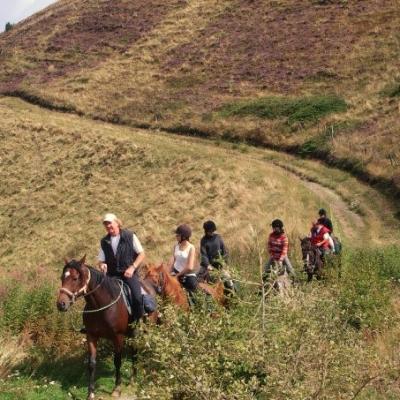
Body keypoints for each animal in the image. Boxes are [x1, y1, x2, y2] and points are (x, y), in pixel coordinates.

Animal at [57, 256, 154, 400]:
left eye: (75, 278)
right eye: (62, 278)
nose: (61, 304)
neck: (102, 305)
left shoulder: (118, 337)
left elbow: (117, 361)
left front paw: (117, 388)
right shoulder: (91, 336)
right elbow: (91, 363)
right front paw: (91, 392)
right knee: (134, 351)